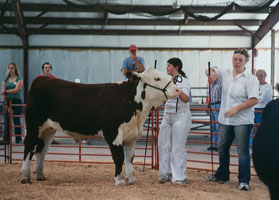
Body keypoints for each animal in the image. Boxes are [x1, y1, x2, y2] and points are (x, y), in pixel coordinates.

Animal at [21, 68, 179, 185]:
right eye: (157, 78)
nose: (177, 90)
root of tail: (42, 79)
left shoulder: (131, 137)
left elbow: (130, 158)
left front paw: (132, 179)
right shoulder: (113, 135)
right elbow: (118, 157)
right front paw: (119, 180)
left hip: (48, 129)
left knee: (42, 150)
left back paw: (40, 175)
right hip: (33, 125)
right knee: (29, 146)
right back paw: (25, 177)